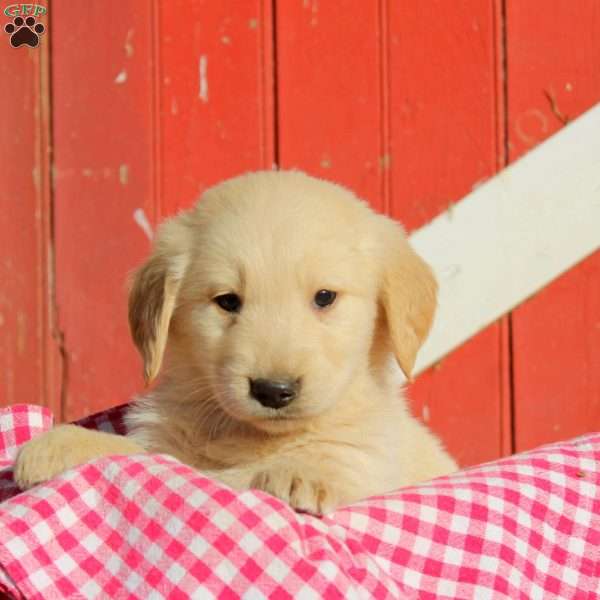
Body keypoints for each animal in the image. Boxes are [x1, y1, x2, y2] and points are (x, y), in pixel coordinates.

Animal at [14, 171, 454, 512]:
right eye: (227, 301)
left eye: (325, 297)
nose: (273, 391)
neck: (251, 438)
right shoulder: (172, 453)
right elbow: (141, 455)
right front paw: (61, 446)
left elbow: (342, 459)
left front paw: (304, 473)